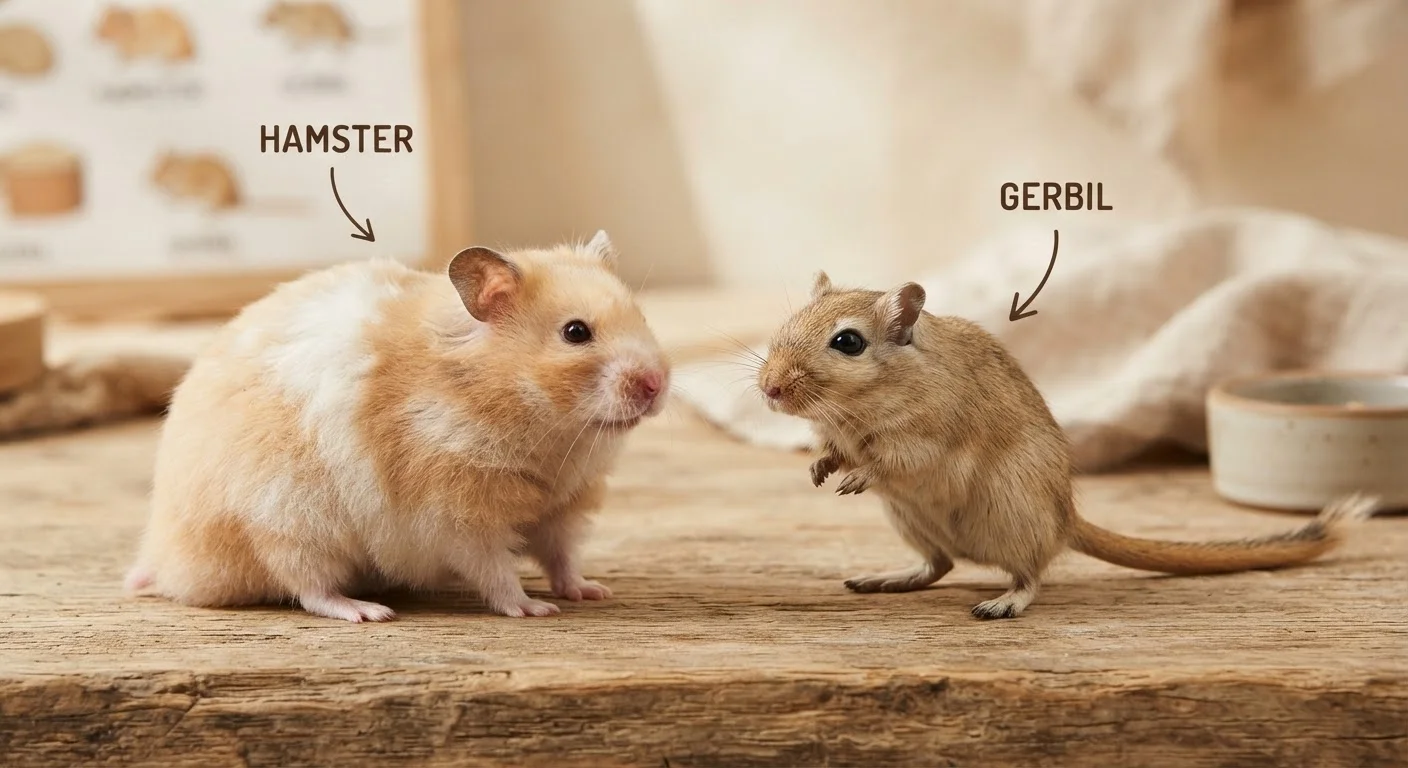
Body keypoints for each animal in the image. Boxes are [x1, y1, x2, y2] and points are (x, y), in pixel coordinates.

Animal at [123, 231, 671, 622]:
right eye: (575, 332)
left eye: (642, 317)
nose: (657, 383)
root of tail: (165, 553)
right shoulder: (457, 514)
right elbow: (495, 570)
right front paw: (534, 608)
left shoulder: (562, 505)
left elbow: (561, 556)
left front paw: (590, 591)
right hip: (286, 520)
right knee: (307, 586)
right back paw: (369, 611)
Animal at [757, 272, 1377, 620]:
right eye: (788, 323)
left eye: (848, 342)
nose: (768, 389)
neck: (856, 410)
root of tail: (1067, 519)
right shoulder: (839, 433)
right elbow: (836, 452)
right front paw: (820, 469)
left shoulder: (924, 437)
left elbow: (890, 461)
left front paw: (854, 477)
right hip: (911, 520)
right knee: (939, 564)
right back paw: (885, 578)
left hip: (1007, 513)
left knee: (1031, 574)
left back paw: (1002, 604)